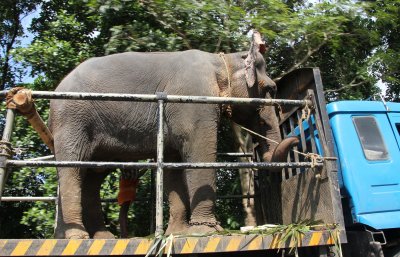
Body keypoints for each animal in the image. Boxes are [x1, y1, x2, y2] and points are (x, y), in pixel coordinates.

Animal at [50, 31, 288, 238]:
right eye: (271, 89)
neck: (222, 62)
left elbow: (173, 167)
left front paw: (178, 233)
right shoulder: (194, 102)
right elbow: (200, 155)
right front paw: (206, 231)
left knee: (91, 176)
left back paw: (93, 237)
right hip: (72, 119)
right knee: (73, 168)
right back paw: (77, 237)